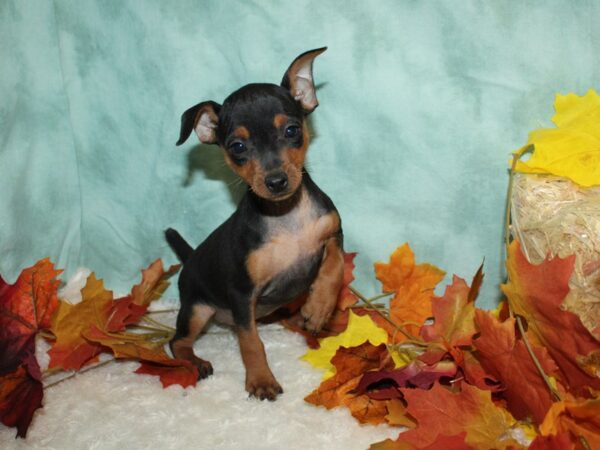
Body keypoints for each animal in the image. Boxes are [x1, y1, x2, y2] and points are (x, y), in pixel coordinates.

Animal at [165, 48, 342, 400]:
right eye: (237, 147)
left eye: (291, 130)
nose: (276, 181)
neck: (286, 216)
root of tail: (189, 259)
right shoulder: (241, 293)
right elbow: (250, 341)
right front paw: (261, 379)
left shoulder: (333, 233)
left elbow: (336, 266)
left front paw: (318, 307)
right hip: (196, 310)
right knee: (177, 342)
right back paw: (196, 362)